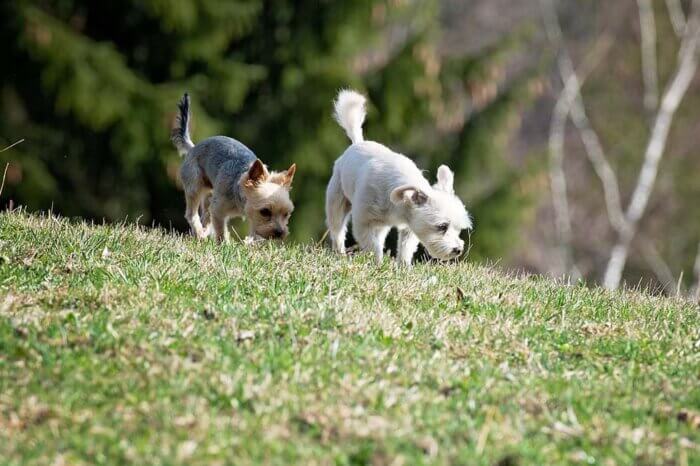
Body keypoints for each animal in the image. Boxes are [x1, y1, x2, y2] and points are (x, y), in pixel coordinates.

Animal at [175, 93, 298, 242]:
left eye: (286, 214)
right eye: (265, 211)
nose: (280, 233)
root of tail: (193, 147)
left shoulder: (252, 219)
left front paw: (249, 243)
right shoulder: (218, 209)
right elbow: (221, 230)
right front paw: (223, 244)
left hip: (209, 192)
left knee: (205, 214)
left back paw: (203, 233)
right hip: (195, 184)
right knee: (192, 213)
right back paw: (199, 233)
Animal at [326, 90, 474, 266]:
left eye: (459, 229)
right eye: (442, 226)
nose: (458, 250)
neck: (397, 206)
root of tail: (357, 142)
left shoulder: (409, 227)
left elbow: (405, 249)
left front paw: (403, 267)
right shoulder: (363, 222)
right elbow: (373, 247)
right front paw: (378, 265)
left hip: (381, 225)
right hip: (337, 201)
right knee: (337, 230)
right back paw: (339, 253)